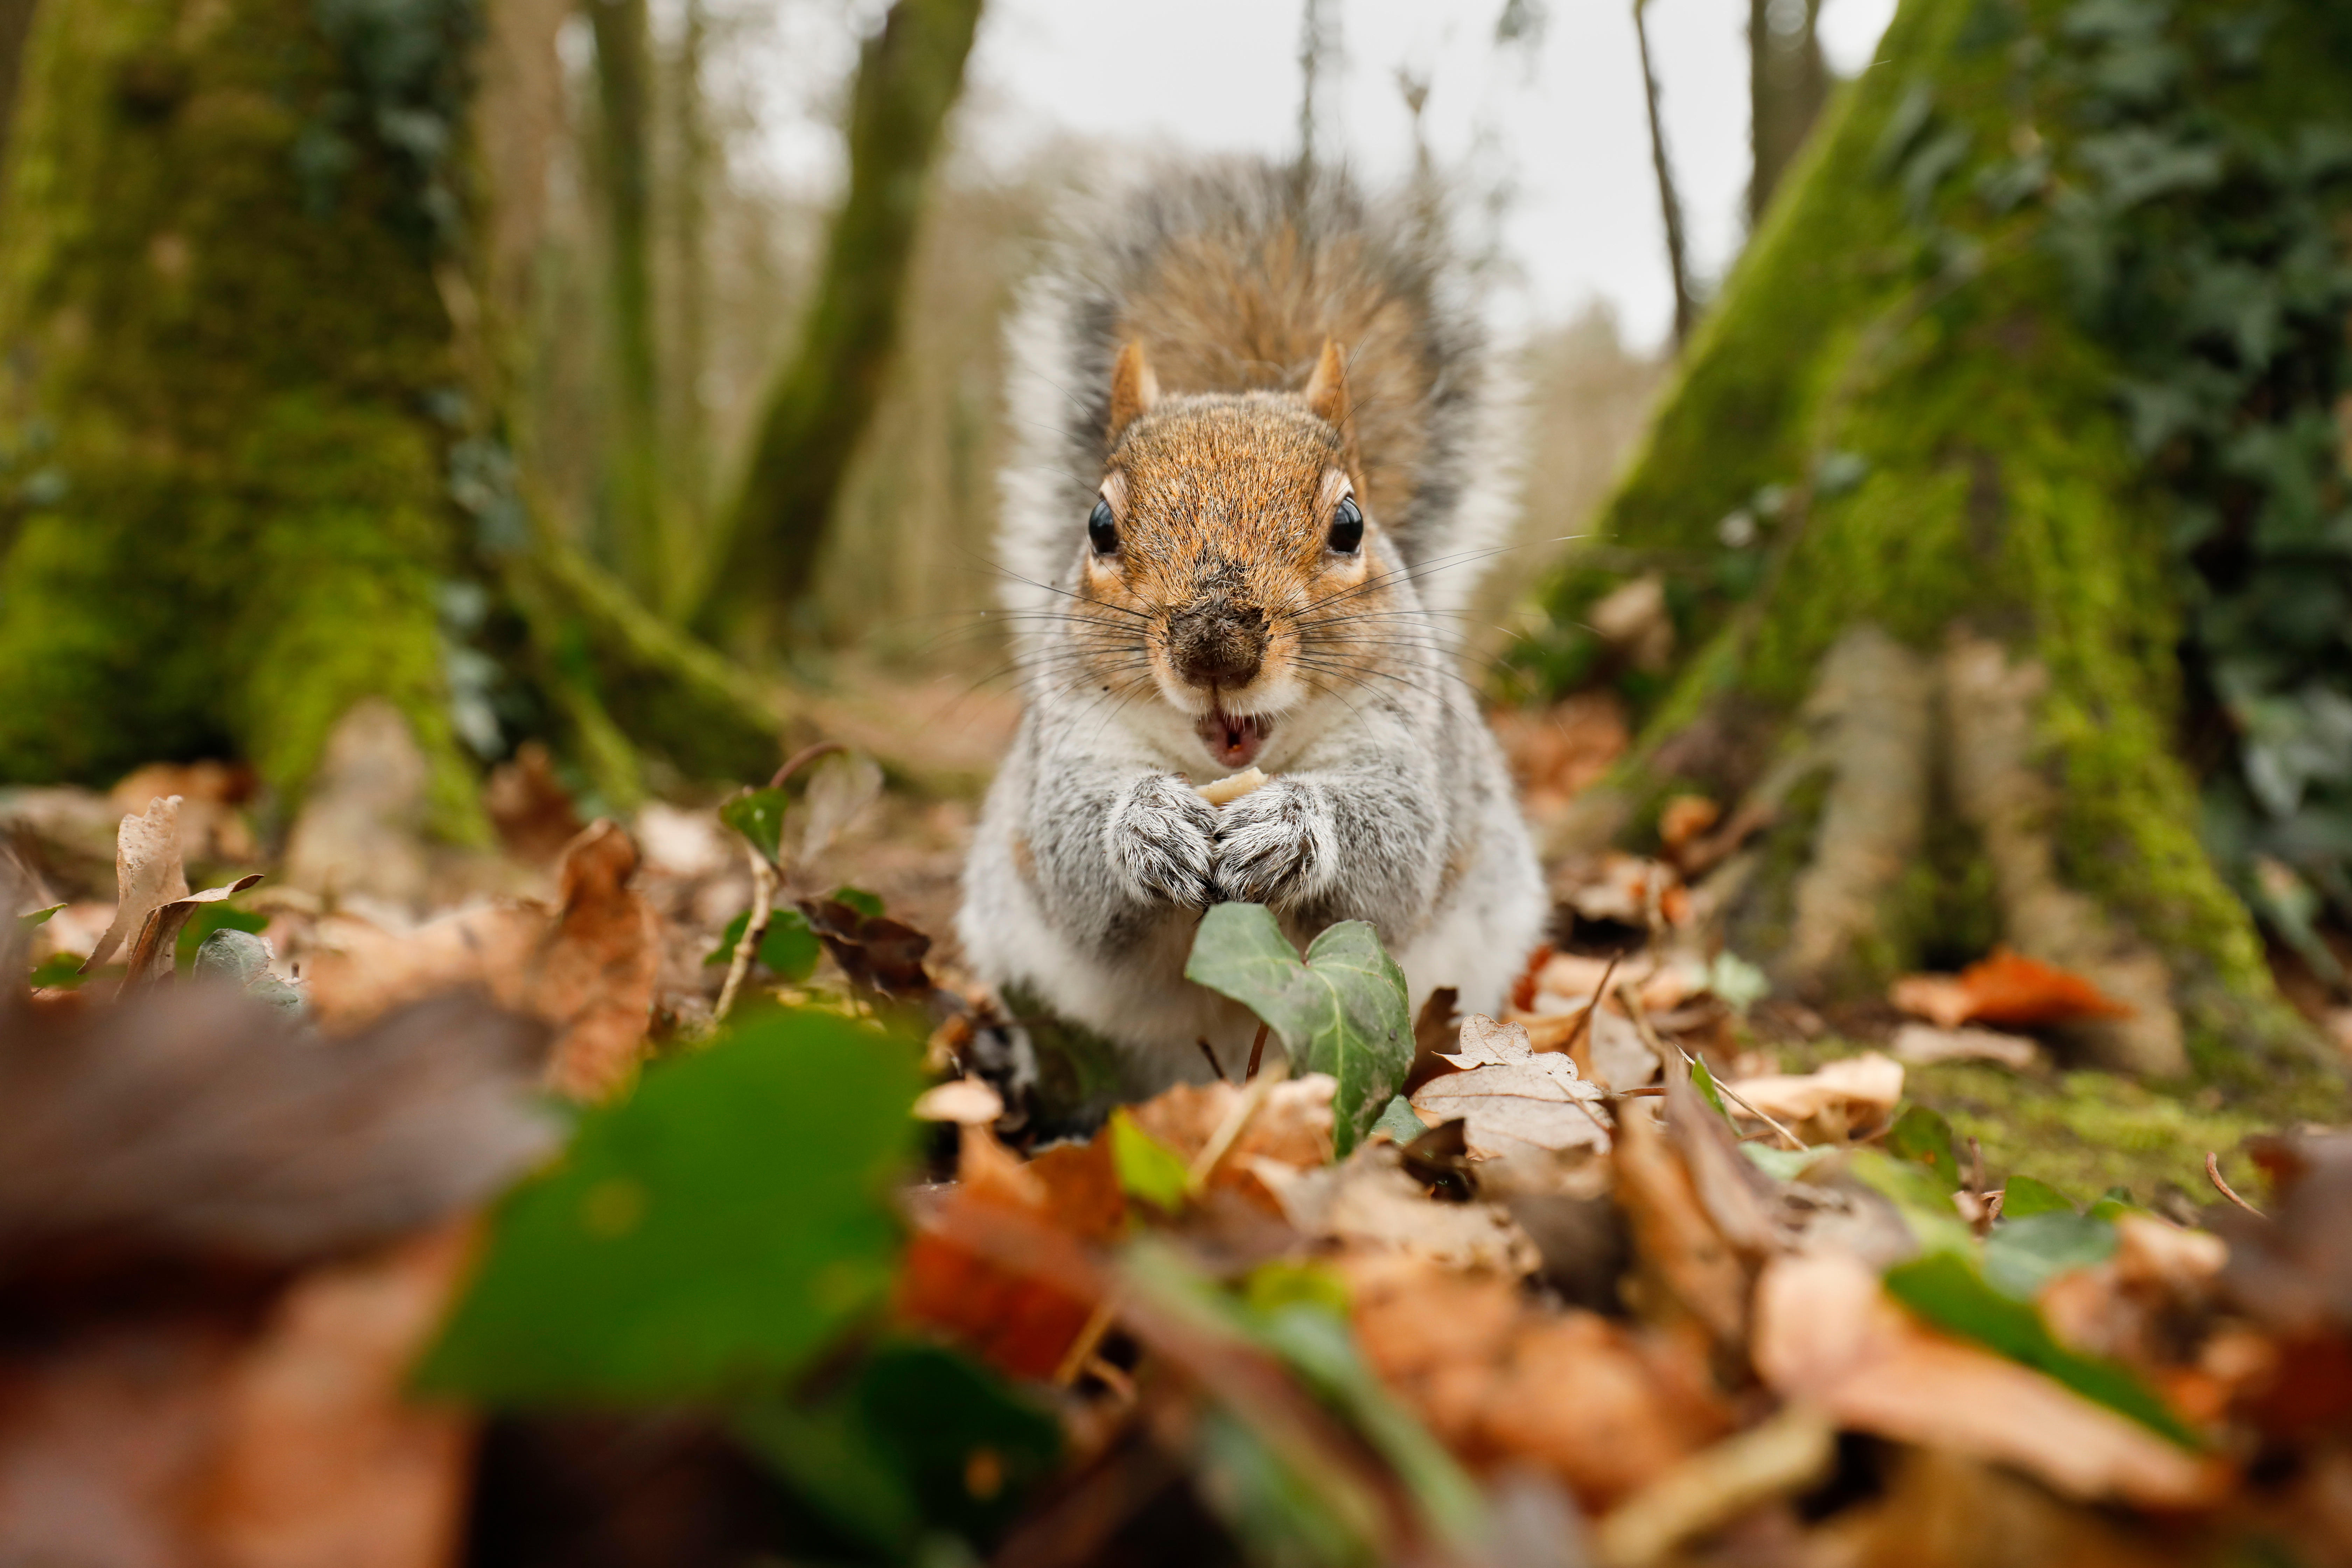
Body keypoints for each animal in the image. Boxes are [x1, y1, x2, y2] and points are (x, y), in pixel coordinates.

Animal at [955, 160, 1543, 1091]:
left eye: (1350, 524)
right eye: (1098, 526)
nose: (1215, 644)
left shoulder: (1406, 742)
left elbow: (1397, 854)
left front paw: (1291, 826)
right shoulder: (1070, 741)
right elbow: (1073, 862)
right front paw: (1147, 824)